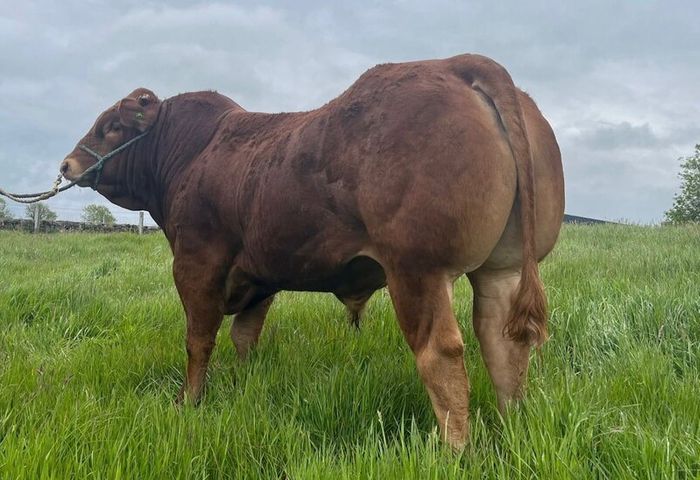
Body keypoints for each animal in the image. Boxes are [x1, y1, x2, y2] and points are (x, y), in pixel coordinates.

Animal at [60, 53, 564, 449]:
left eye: (112, 127)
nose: (67, 163)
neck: (191, 153)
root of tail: (457, 65)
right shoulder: (258, 277)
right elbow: (245, 337)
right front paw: (242, 385)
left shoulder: (196, 264)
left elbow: (198, 340)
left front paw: (189, 402)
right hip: (502, 269)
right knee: (503, 343)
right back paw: (512, 427)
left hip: (417, 270)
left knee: (439, 353)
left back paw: (453, 450)